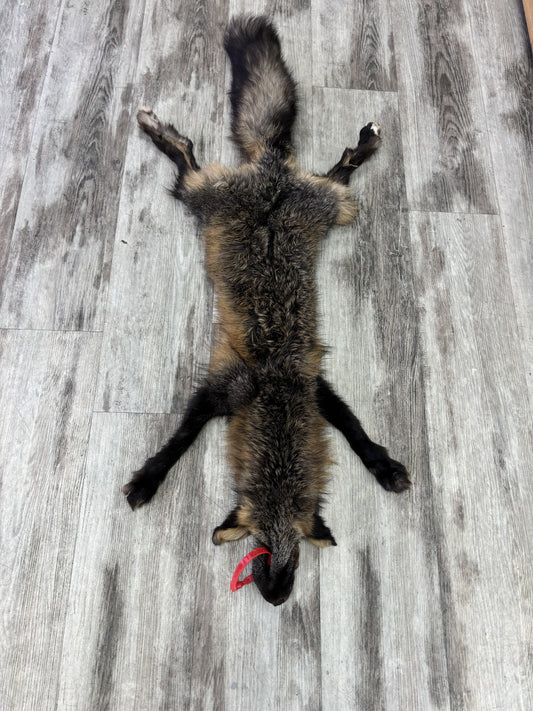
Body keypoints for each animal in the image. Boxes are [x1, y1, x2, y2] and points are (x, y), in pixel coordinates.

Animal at [123, 15, 411, 606]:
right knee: (188, 160)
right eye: (258, 541)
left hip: (328, 208)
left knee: (337, 174)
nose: (277, 598)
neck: (276, 390)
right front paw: (147, 479)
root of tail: (271, 170)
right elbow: (178, 442)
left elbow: (356, 431)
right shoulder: (221, 390)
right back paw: (160, 132)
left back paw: (364, 143)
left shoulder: (315, 385)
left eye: (293, 545)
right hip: (206, 198)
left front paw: (383, 466)